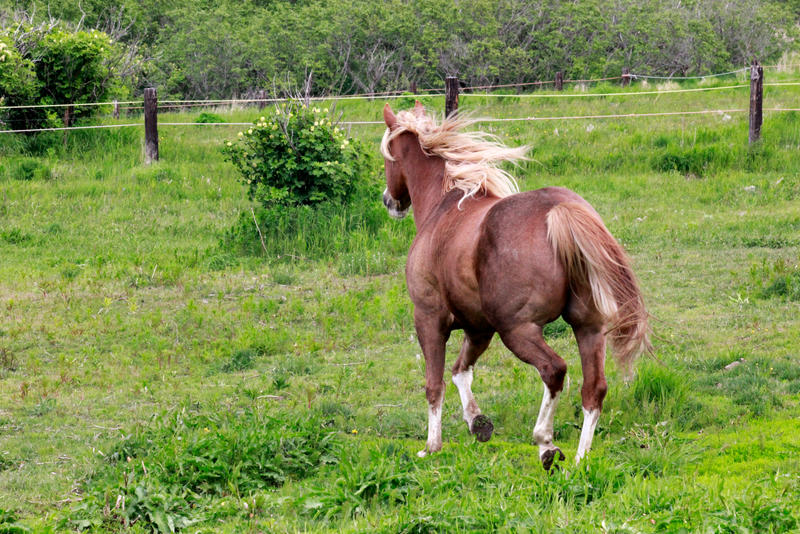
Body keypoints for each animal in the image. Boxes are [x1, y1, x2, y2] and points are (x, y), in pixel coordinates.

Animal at [382, 102, 648, 472]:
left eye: (388, 157)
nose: (389, 201)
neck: (444, 206)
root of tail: (559, 209)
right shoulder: (479, 327)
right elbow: (461, 371)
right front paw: (478, 423)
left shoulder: (430, 319)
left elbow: (435, 383)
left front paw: (431, 446)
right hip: (588, 327)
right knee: (594, 389)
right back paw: (580, 459)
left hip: (518, 330)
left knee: (554, 370)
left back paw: (546, 443)